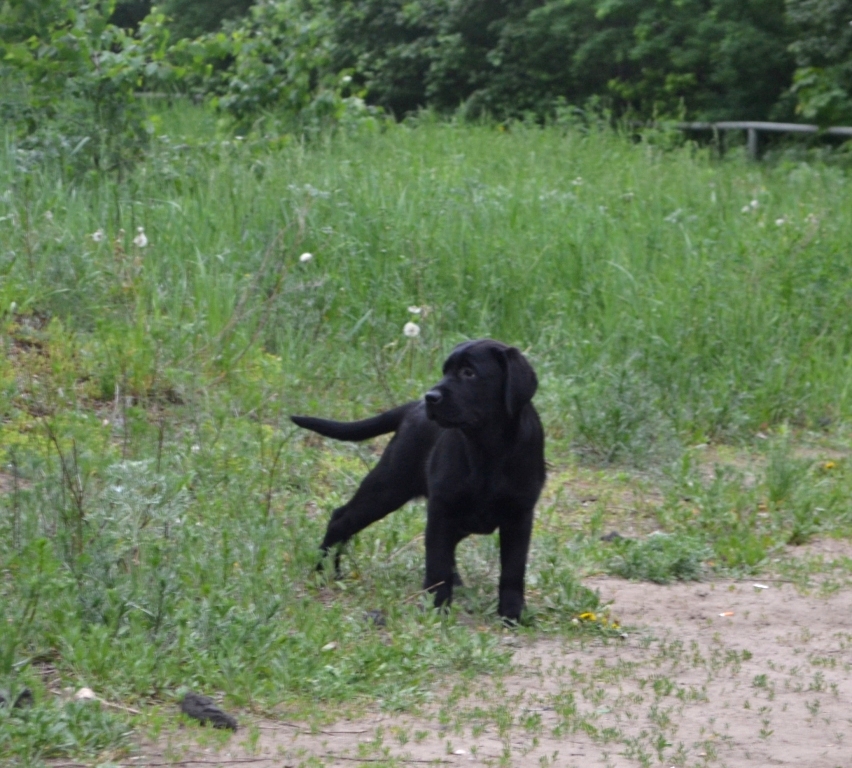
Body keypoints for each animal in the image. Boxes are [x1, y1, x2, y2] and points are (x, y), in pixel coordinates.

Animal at [291, 339, 545, 621]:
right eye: (445, 371)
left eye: (469, 373)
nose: (430, 397)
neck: (487, 448)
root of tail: (412, 408)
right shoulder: (441, 509)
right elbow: (437, 563)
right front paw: (436, 609)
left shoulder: (519, 516)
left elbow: (513, 569)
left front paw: (512, 613)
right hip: (389, 486)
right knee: (340, 519)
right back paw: (325, 572)